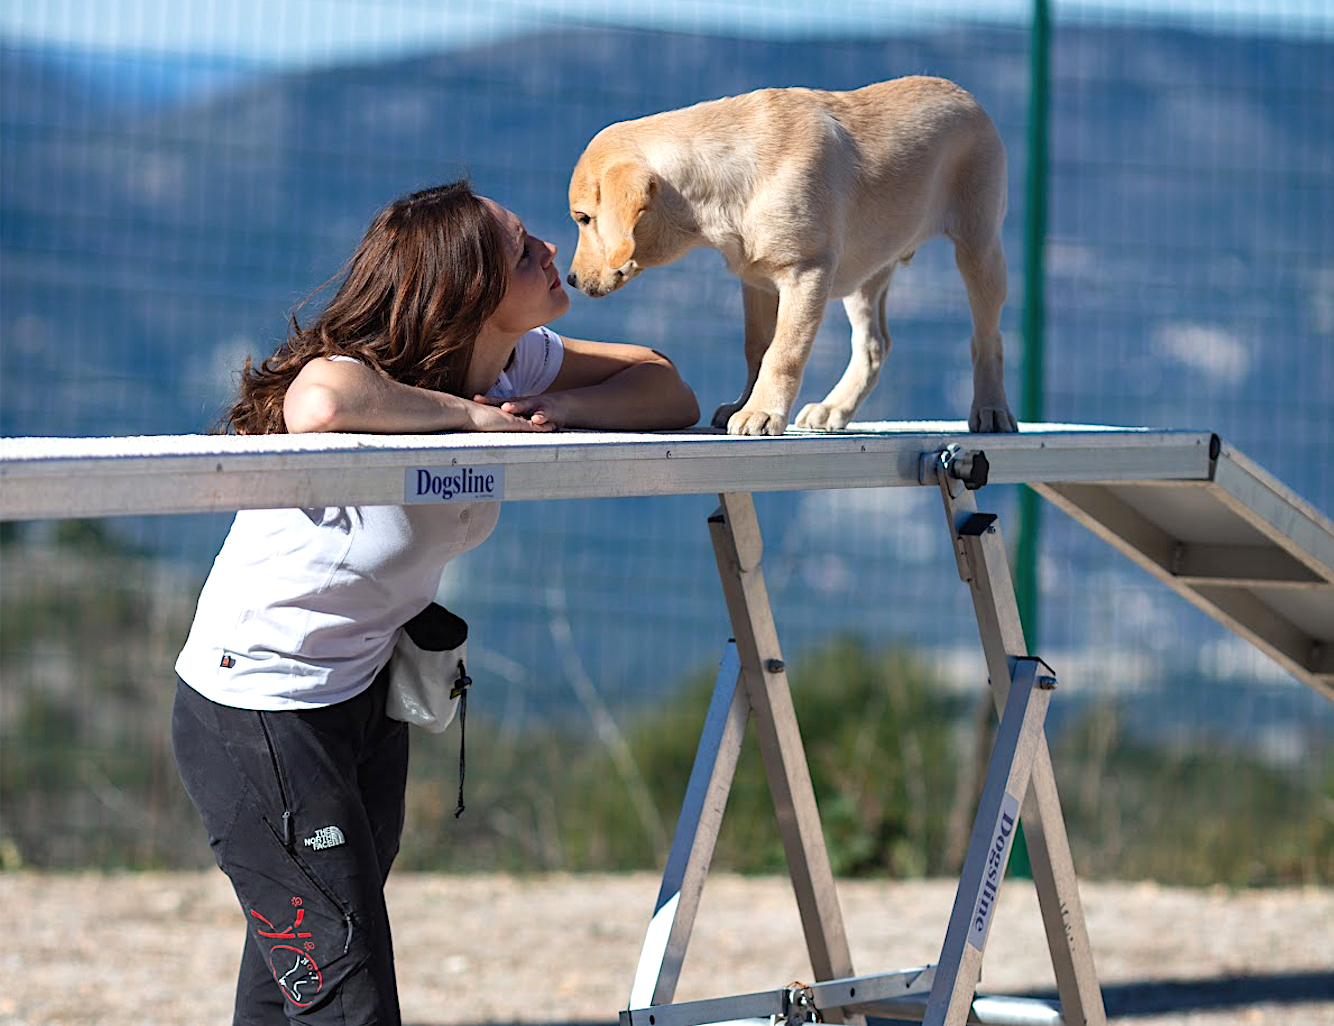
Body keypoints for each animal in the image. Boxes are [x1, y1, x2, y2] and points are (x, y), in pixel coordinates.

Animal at [568, 76, 1013, 434]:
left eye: (584, 218)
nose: (570, 279)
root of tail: (964, 93)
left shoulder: (807, 271)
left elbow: (783, 351)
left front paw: (762, 413)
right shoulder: (756, 281)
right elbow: (756, 348)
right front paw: (744, 403)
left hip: (980, 246)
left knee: (986, 337)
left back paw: (991, 410)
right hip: (866, 272)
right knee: (874, 345)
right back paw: (834, 409)